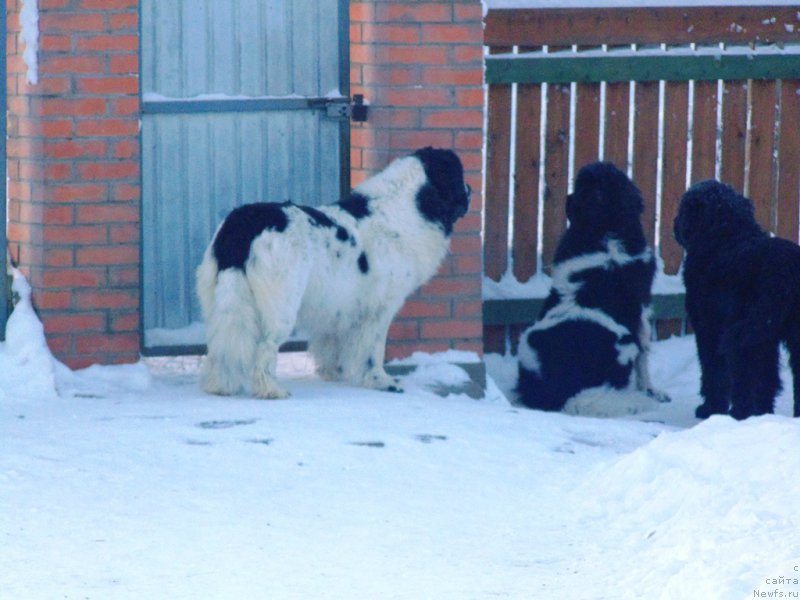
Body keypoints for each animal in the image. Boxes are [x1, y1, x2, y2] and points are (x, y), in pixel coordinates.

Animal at [196, 146, 468, 398]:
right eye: (459, 175)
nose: (471, 189)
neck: (408, 208)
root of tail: (242, 224)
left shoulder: (339, 306)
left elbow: (333, 343)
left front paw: (334, 373)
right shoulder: (379, 309)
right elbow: (374, 349)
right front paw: (380, 381)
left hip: (223, 300)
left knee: (221, 345)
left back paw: (221, 386)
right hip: (280, 303)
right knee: (265, 345)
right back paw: (271, 390)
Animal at [516, 162, 664, 410]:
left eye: (579, 189)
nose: (568, 197)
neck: (608, 227)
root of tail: (572, 390)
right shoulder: (642, 309)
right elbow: (643, 355)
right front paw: (651, 390)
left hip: (528, 340)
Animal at [676, 180, 800, 420]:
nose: (676, 226)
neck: (726, 233)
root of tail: (784, 269)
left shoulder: (708, 329)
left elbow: (713, 371)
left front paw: (710, 409)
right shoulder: (766, 339)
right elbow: (768, 380)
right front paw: (764, 413)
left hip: (739, 334)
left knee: (742, 377)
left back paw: (737, 415)